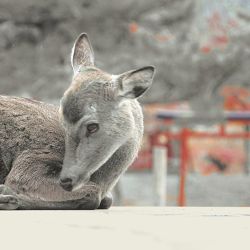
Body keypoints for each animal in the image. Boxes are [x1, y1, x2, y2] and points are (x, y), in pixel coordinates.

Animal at [0, 33, 154, 209]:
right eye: (62, 119)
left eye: (92, 127)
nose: (66, 180)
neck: (103, 181)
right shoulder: (31, 160)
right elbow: (94, 194)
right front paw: (8, 194)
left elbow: (106, 199)